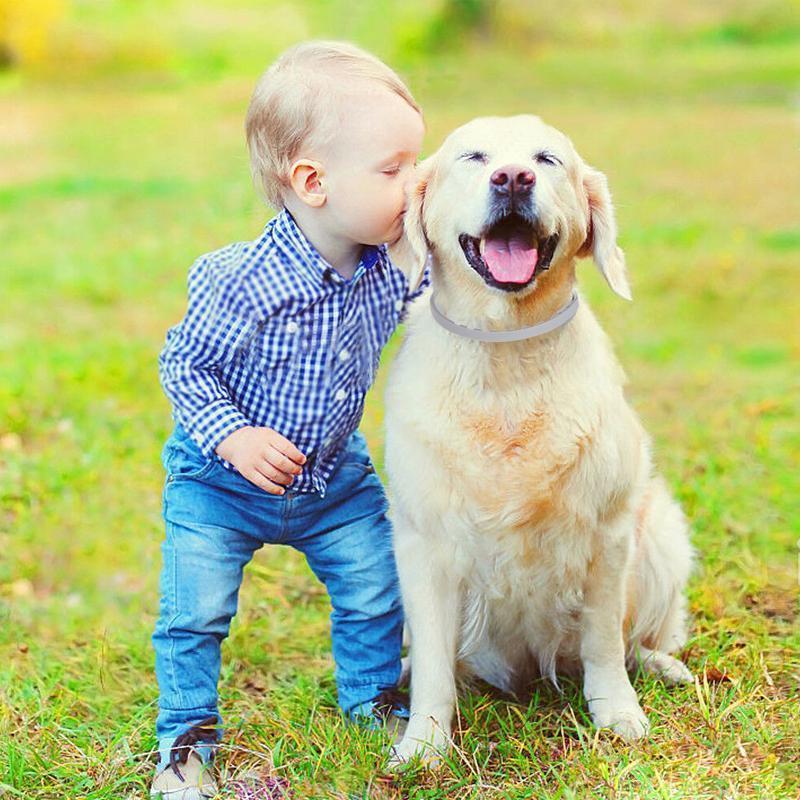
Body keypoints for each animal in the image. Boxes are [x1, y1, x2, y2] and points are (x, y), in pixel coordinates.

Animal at [382, 115, 692, 764]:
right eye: (474, 157)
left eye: (547, 160)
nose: (513, 178)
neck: (507, 353)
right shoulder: (423, 542)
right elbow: (434, 663)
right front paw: (423, 744)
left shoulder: (608, 532)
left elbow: (603, 640)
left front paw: (616, 712)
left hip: (661, 534)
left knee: (637, 639)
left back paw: (662, 665)